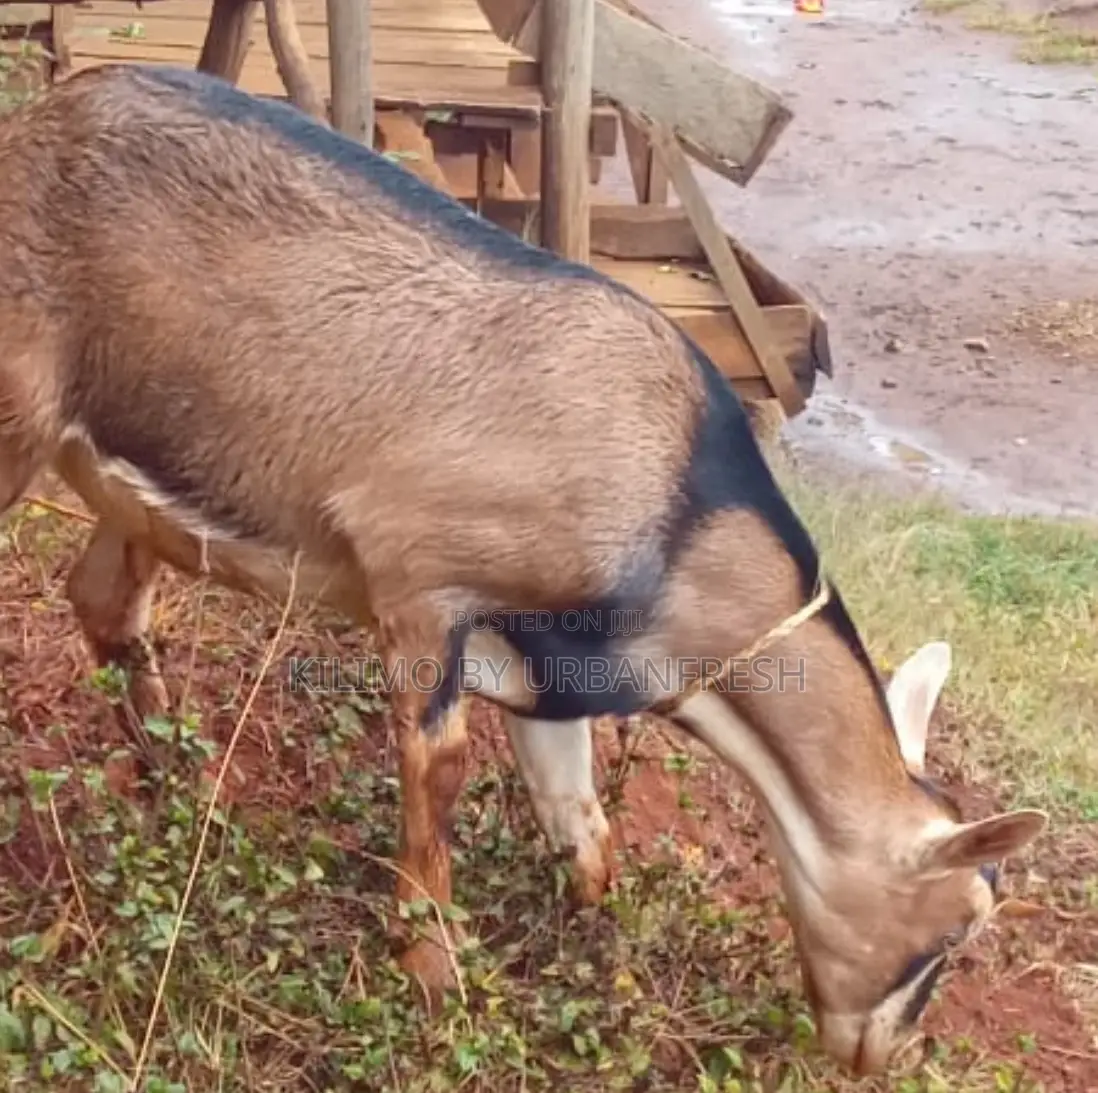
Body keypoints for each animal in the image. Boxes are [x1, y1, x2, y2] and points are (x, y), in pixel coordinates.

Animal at [0, 64, 1046, 1076]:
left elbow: (583, 827)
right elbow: (441, 766)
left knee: (106, 599)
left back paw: (184, 788)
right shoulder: (421, 576)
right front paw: (432, 971)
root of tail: (39, 121)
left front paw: (603, 963)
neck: (680, 516)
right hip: (19, 408)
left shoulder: (554, 674)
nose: (882, 1053)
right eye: (958, 926)